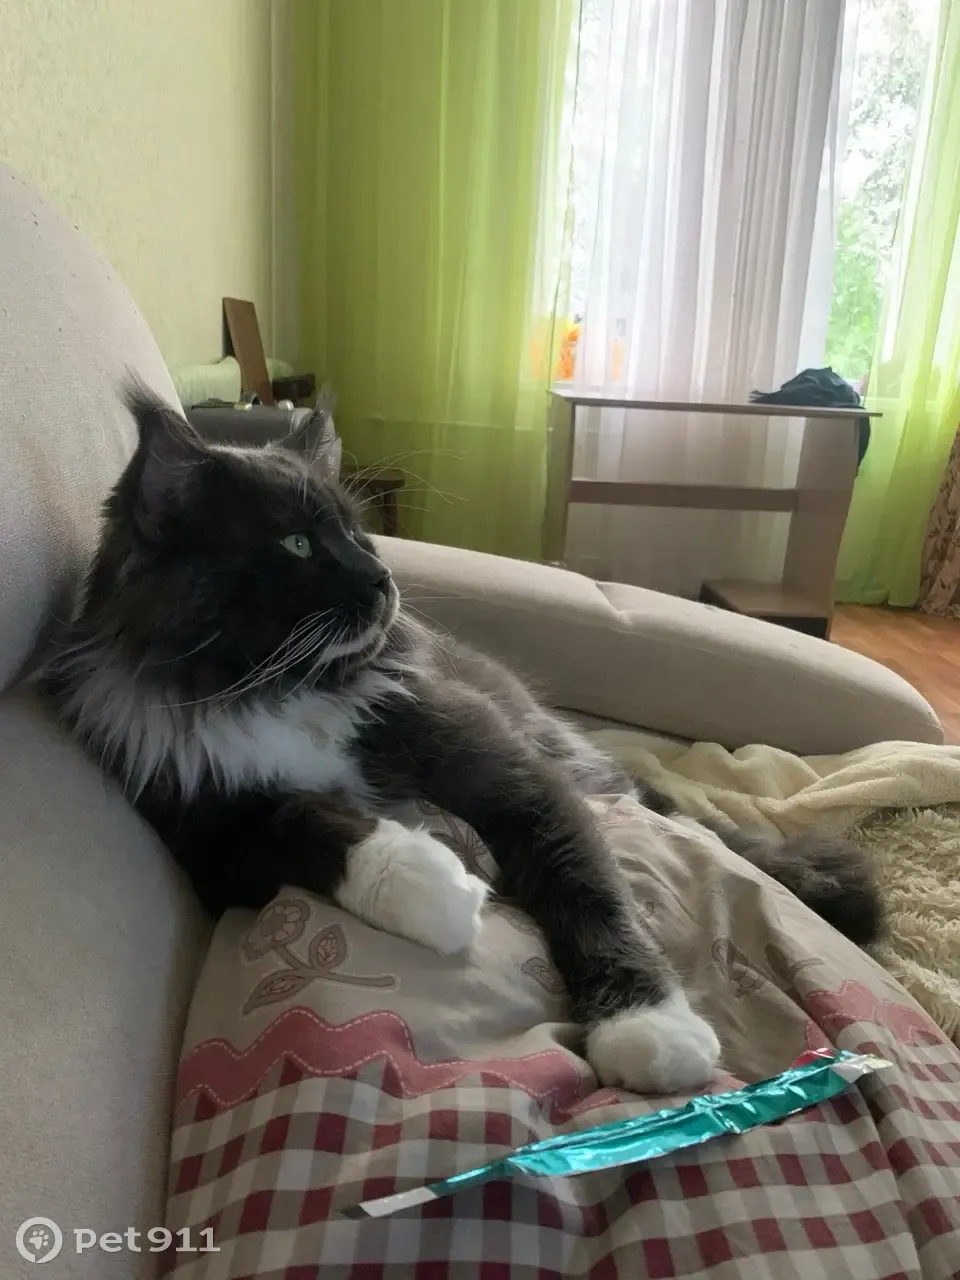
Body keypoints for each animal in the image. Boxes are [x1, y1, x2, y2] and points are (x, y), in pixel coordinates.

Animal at [45, 386, 881, 1096]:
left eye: (359, 532)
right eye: (296, 545)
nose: (382, 576)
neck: (282, 688)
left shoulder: (513, 776)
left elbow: (591, 892)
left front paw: (649, 1026)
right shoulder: (204, 837)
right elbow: (303, 819)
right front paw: (429, 883)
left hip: (578, 762)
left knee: (675, 817)